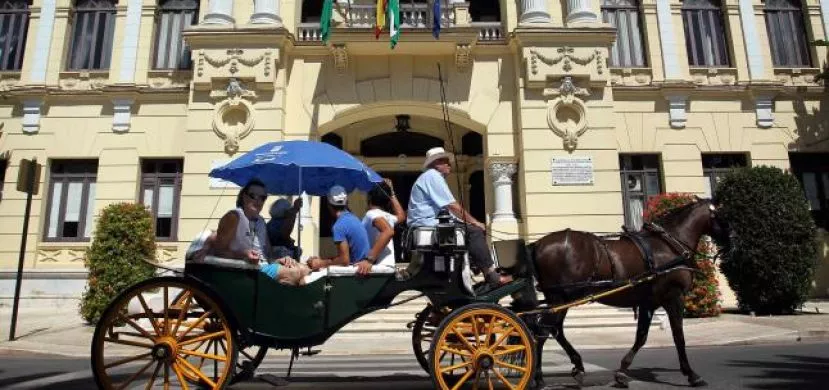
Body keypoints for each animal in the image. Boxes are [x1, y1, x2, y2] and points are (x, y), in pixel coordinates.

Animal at [524, 198, 732, 390]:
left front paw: (622, 371)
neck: (669, 245)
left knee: (554, 330)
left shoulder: (648, 302)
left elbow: (641, 336)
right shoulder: (674, 297)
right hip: (560, 298)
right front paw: (691, 374)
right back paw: (539, 377)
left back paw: (575, 366)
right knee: (544, 331)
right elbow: (678, 336)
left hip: (560, 300)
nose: (731, 242)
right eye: (722, 215)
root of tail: (537, 244)